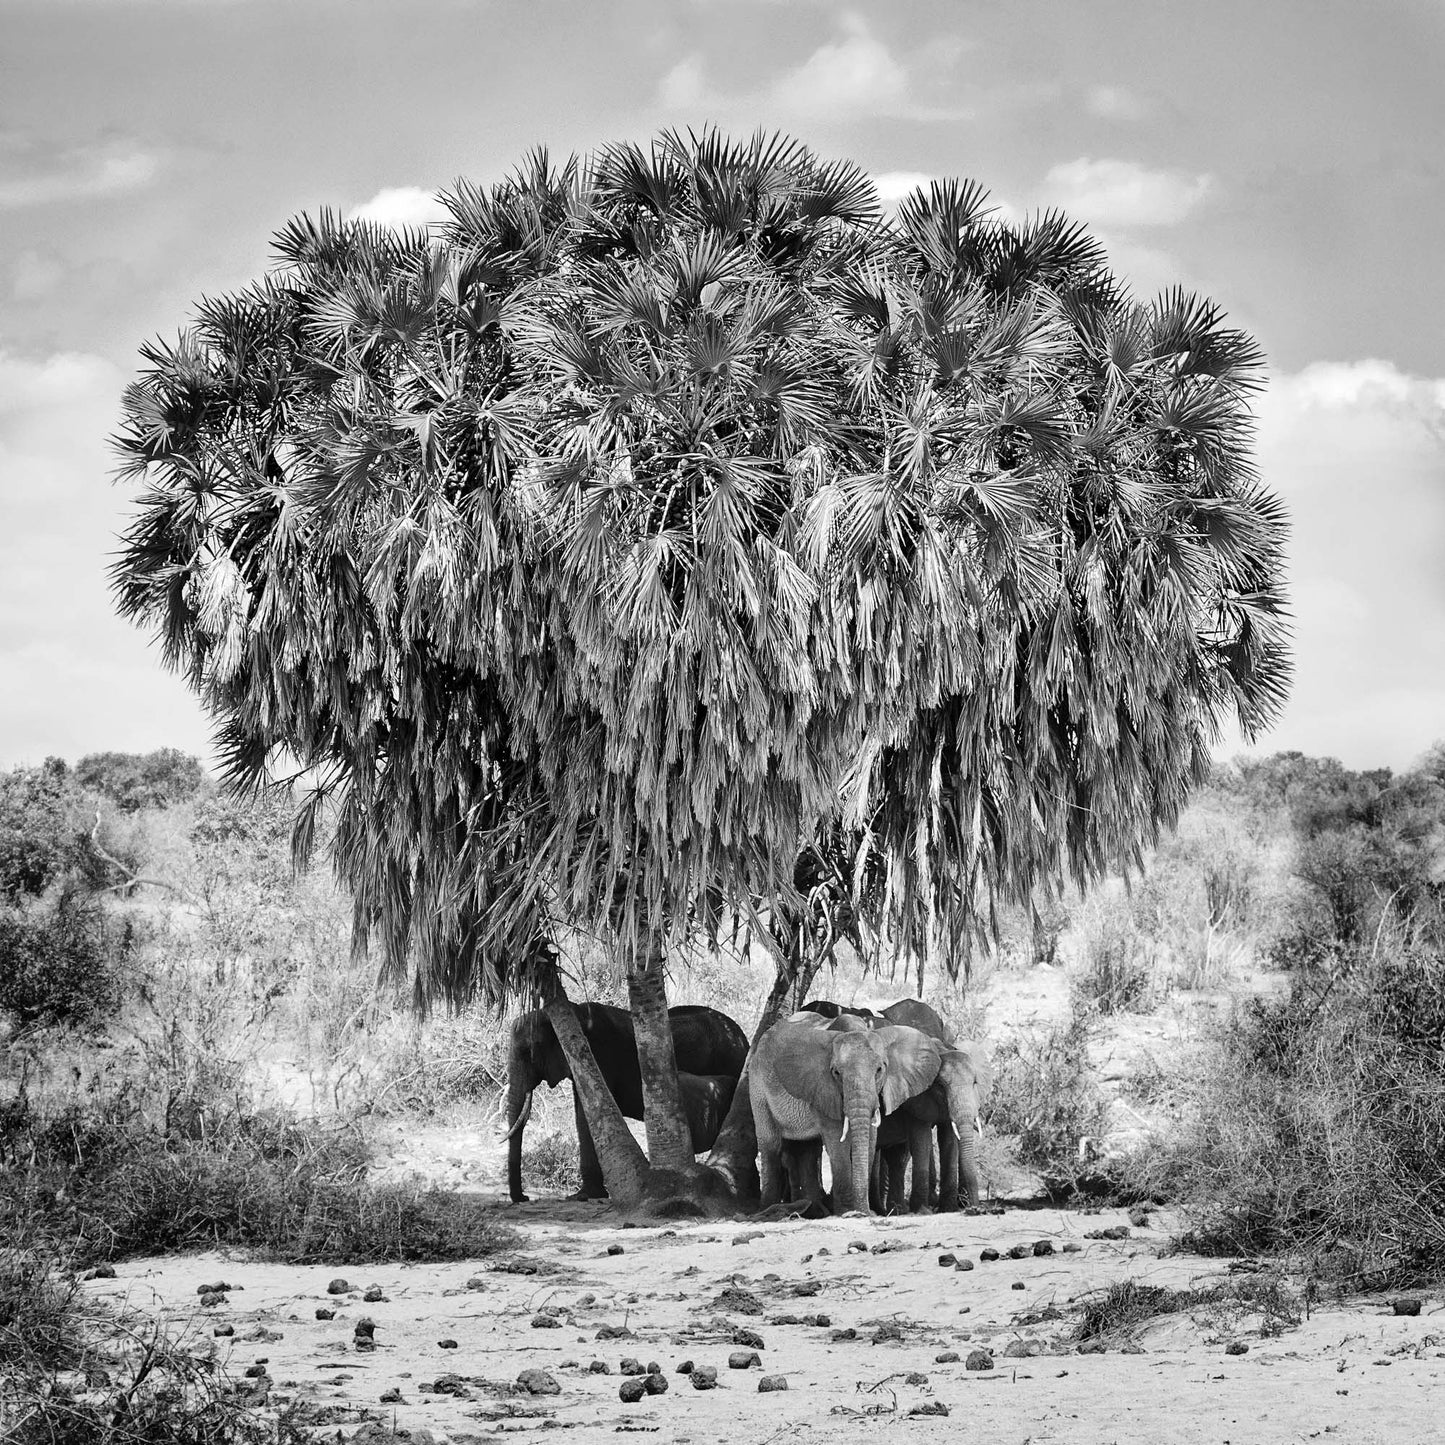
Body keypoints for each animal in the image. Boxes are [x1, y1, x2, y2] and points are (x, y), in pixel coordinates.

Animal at [505, 999, 751, 1202]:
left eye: (528, 1052)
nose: (525, 1198)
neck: (571, 1014)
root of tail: (744, 1038)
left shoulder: (599, 1055)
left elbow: (586, 1117)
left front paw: (584, 1196)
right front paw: (585, 1195)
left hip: (732, 1061)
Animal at [751, 1017, 942, 1219]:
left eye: (879, 1069)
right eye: (836, 1073)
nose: (864, 1212)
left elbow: (871, 1139)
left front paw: (862, 1211)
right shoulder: (824, 1089)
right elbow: (837, 1141)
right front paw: (847, 1212)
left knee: (808, 1149)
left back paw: (814, 1211)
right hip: (757, 1089)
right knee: (771, 1144)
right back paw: (767, 1210)